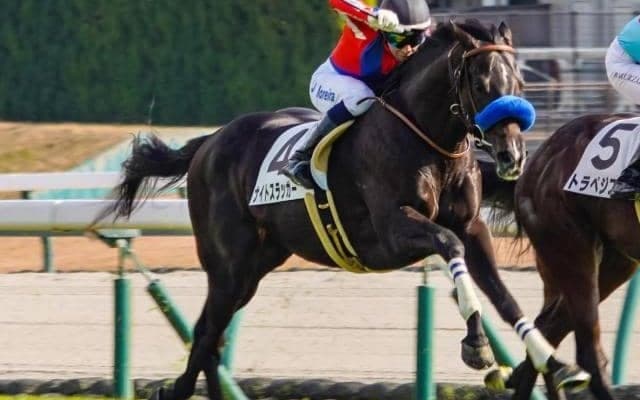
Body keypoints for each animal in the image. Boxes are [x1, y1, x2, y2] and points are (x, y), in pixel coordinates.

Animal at [93, 19, 587, 400]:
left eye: (519, 83)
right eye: (483, 85)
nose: (512, 157)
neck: (429, 139)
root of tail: (209, 143)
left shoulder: (472, 226)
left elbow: (504, 295)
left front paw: (557, 364)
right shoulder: (393, 231)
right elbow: (449, 247)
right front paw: (478, 347)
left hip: (255, 266)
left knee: (213, 336)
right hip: (227, 264)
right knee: (204, 334)